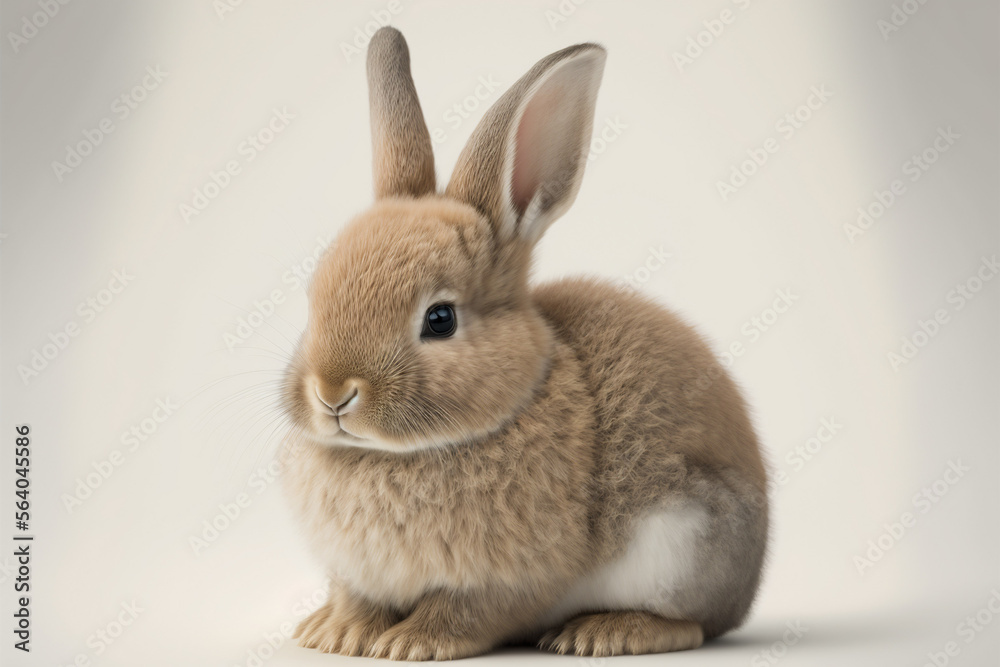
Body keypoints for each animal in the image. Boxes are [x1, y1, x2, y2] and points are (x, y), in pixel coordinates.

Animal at [279, 27, 769, 660]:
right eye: (312, 298)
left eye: (440, 319)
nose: (333, 393)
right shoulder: (357, 572)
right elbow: (356, 597)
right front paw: (336, 634)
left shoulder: (511, 579)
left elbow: (469, 611)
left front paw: (409, 645)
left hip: (685, 540)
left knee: (693, 625)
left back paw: (606, 632)